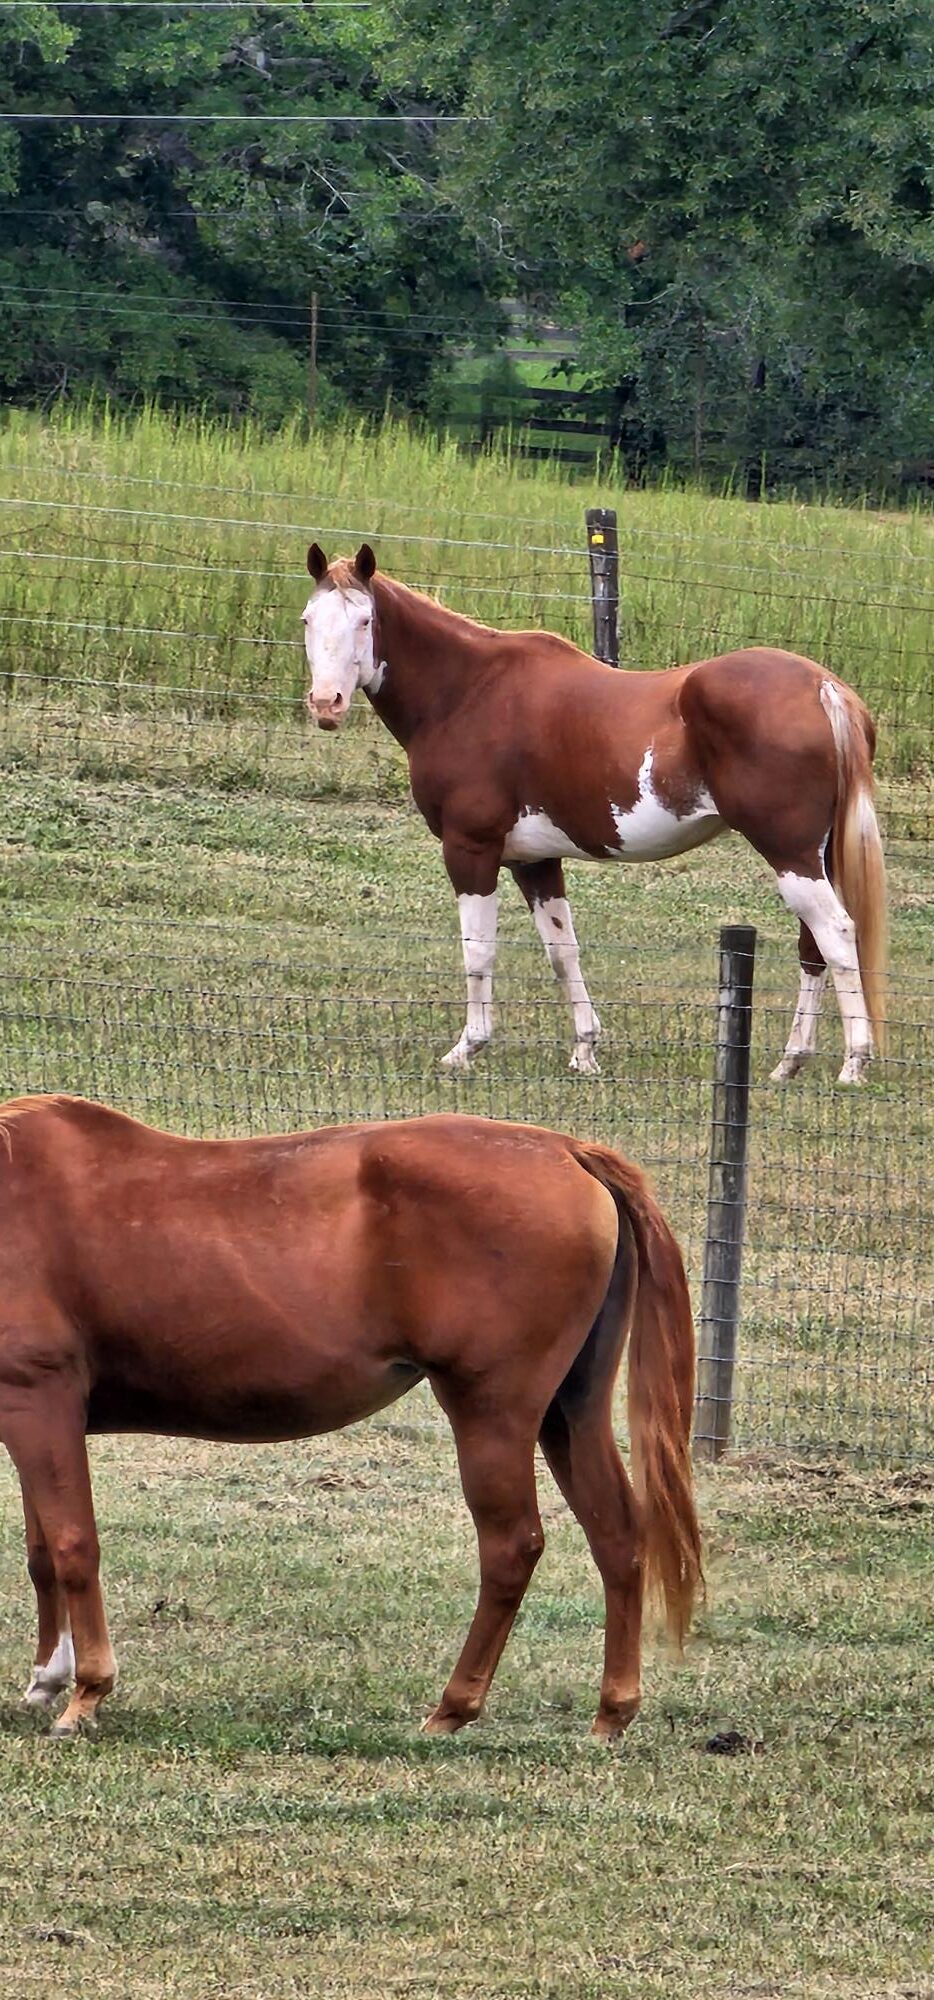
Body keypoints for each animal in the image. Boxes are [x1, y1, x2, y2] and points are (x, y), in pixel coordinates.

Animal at [0, 1093, 701, 1742]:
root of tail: (567, 1151)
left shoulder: (39, 1401)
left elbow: (73, 1546)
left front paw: (85, 1693)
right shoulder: (35, 1415)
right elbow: (42, 1552)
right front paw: (46, 1679)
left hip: (492, 1414)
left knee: (511, 1547)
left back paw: (454, 1707)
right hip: (570, 1410)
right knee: (618, 1535)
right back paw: (612, 1711)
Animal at [302, 545, 887, 1085]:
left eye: (364, 620)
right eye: (308, 619)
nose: (327, 703)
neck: (468, 691)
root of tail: (824, 688)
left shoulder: (470, 849)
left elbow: (479, 952)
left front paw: (467, 1048)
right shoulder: (534, 861)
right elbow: (563, 952)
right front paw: (584, 1051)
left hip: (788, 853)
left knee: (837, 934)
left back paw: (854, 1062)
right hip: (813, 857)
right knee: (813, 947)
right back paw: (790, 1062)